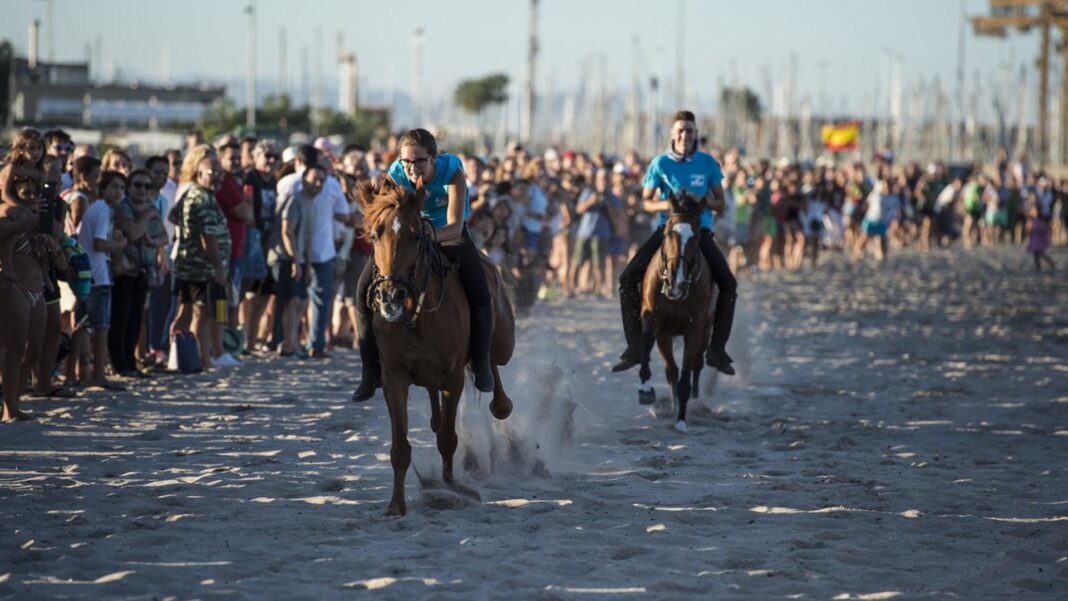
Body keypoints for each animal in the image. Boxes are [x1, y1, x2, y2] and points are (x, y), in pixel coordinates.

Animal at [356, 178, 514, 516]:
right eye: (375, 234)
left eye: (416, 236)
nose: (390, 296)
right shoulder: (394, 377)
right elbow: (400, 448)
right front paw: (396, 506)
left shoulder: (452, 377)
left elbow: (447, 439)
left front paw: (453, 487)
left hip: (503, 340)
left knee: (492, 361)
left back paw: (500, 401)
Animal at [632, 193, 717, 433]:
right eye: (669, 231)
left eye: (697, 236)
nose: (675, 283)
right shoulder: (656, 323)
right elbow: (652, 350)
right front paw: (646, 390)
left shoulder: (694, 329)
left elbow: (686, 374)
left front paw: (681, 420)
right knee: (673, 370)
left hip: (706, 328)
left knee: (697, 364)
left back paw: (695, 403)